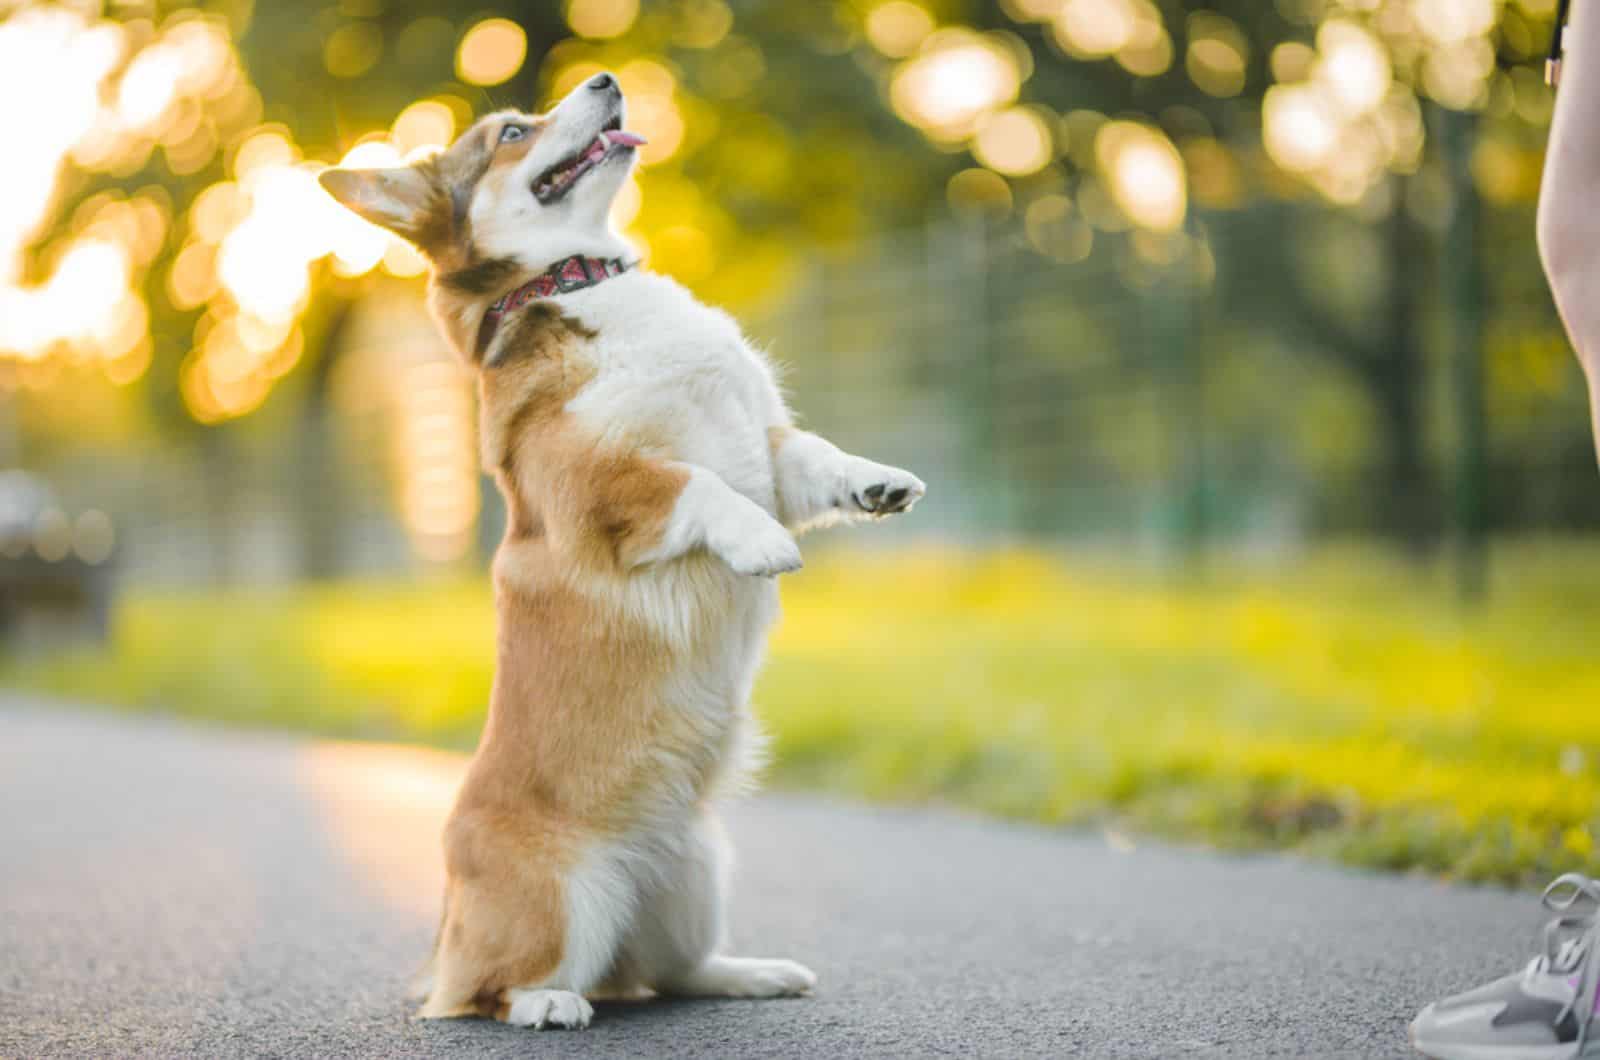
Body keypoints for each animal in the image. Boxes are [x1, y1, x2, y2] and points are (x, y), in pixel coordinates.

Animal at [318, 72, 928, 1031]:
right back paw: (545, 1003)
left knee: (671, 973)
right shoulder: (600, 488)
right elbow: (698, 487)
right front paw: (760, 543)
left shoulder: (769, 449)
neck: (580, 282)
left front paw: (878, 483)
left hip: (698, 872)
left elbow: (813, 456)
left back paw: (753, 972)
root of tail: (445, 930)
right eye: (511, 131)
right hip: (569, 894)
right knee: (491, 992)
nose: (607, 79)